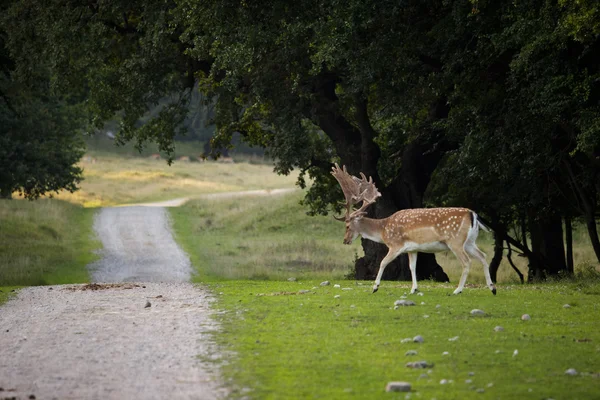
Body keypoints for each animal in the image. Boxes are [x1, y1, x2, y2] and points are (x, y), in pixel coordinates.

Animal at [330, 164, 494, 296]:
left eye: (347, 226)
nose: (345, 240)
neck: (384, 229)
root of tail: (473, 214)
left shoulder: (395, 245)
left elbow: (383, 262)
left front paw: (375, 287)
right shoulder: (412, 249)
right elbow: (412, 267)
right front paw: (414, 289)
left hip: (455, 241)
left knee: (467, 261)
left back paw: (458, 290)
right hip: (470, 241)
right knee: (483, 256)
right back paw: (492, 288)